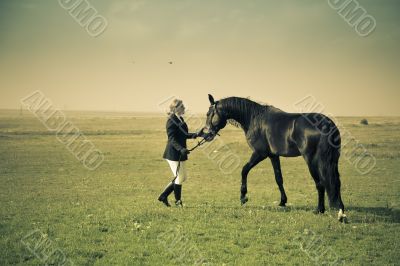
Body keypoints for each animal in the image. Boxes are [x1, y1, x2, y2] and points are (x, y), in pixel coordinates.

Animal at [203, 94, 346, 221]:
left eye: (209, 113)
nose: (207, 133)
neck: (254, 119)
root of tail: (326, 124)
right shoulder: (273, 156)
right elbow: (278, 178)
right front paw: (283, 201)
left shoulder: (260, 154)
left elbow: (244, 170)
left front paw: (243, 196)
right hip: (333, 161)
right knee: (336, 182)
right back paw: (340, 209)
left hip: (311, 161)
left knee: (320, 183)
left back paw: (319, 209)